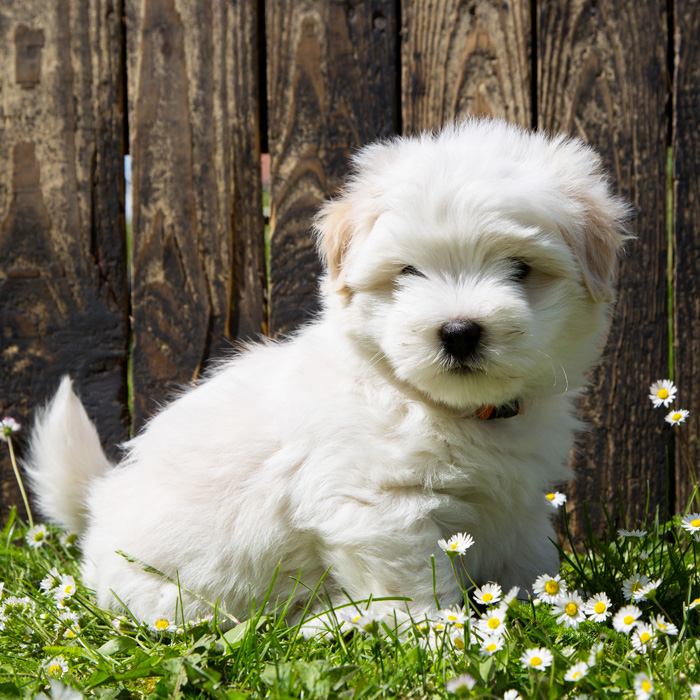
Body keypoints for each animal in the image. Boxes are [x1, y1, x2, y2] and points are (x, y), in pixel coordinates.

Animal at [26, 119, 628, 628]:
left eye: (520, 268)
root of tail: (98, 507)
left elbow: (528, 561)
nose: (458, 331)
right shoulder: (381, 508)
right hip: (170, 594)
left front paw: (543, 614)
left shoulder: (517, 504)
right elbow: (415, 586)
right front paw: (434, 640)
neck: (436, 406)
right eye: (408, 271)